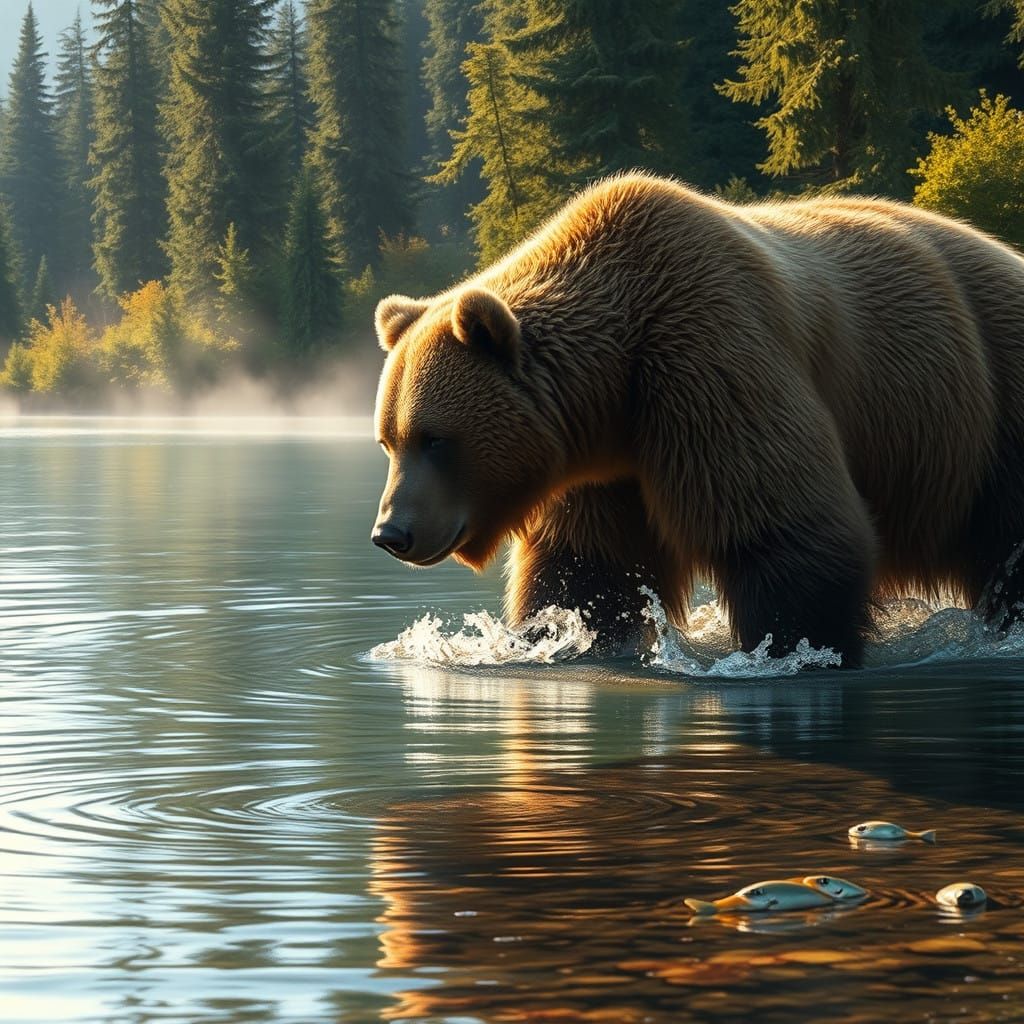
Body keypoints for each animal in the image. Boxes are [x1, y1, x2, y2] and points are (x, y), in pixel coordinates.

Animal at [370, 173, 1024, 669]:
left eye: (436, 439)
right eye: (388, 441)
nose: (391, 533)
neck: (619, 377)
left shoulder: (711, 358)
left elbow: (784, 528)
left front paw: (795, 647)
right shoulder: (605, 466)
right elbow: (586, 570)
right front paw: (560, 637)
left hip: (993, 403)